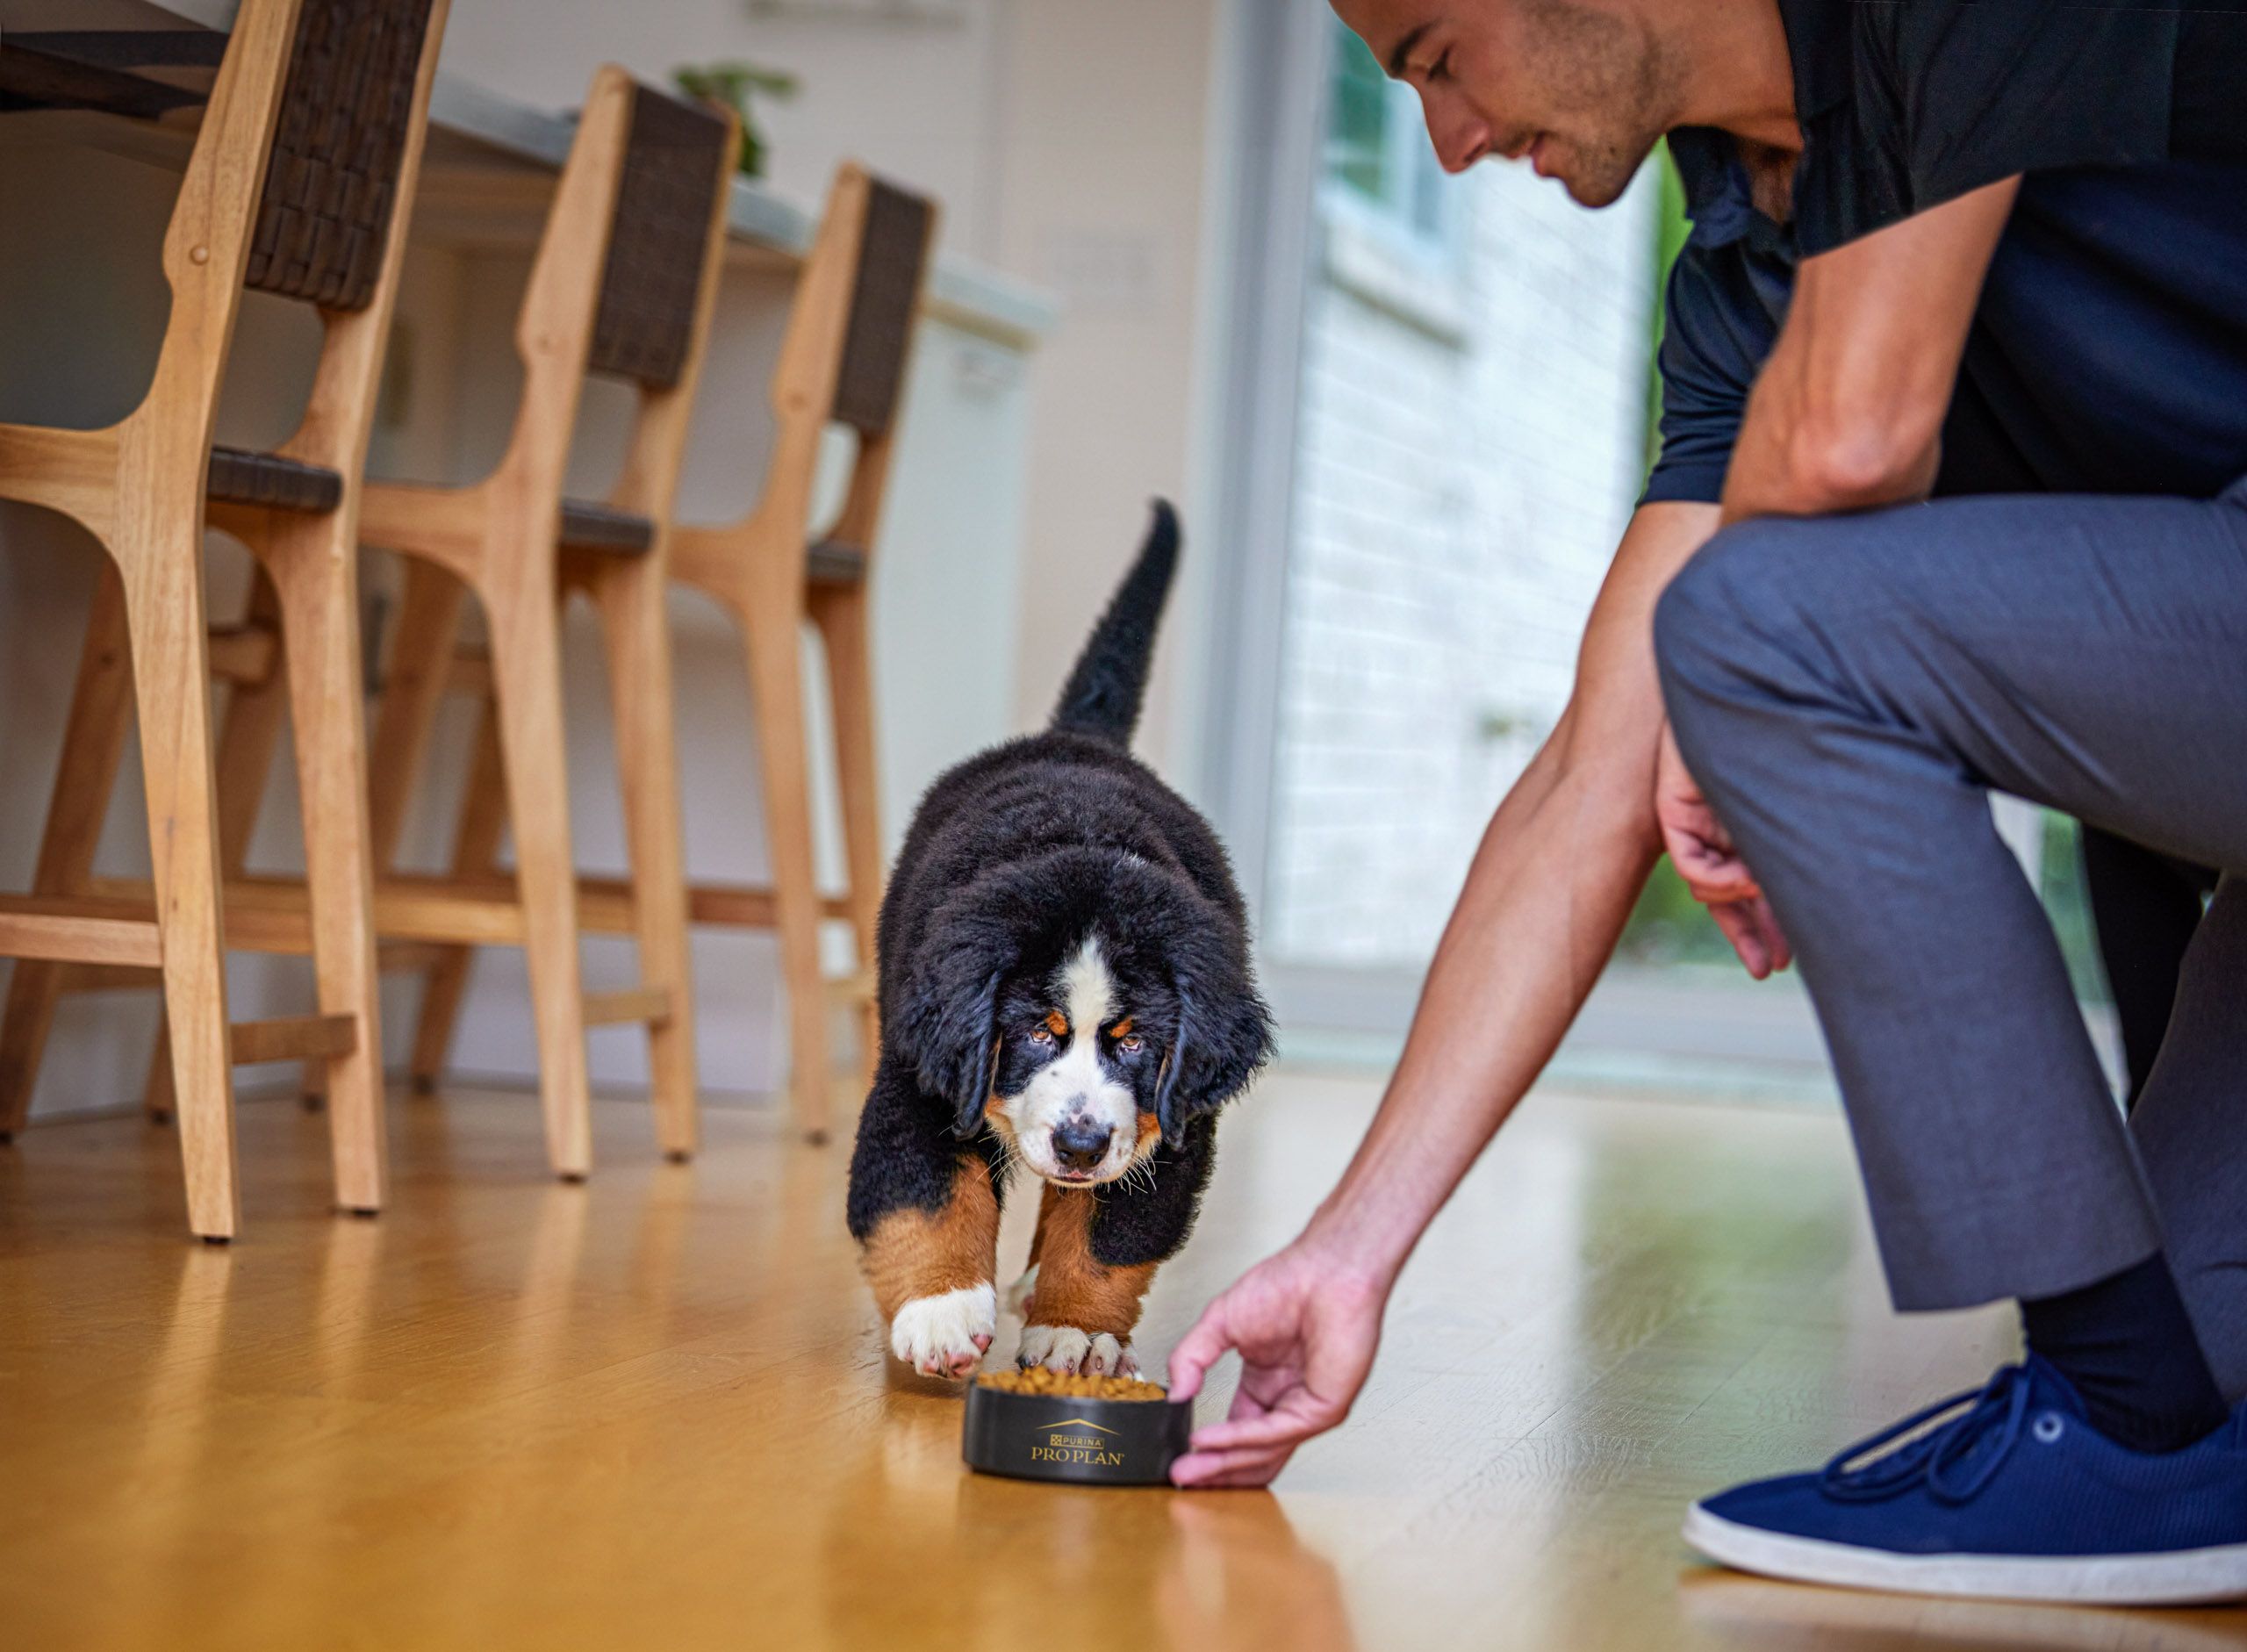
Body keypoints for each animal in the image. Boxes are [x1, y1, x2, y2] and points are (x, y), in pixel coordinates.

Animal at [844, 503, 1276, 1384]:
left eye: (1136, 1041)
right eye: (1035, 1034)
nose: (1079, 1143)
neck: (1082, 841)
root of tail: (1081, 741)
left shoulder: (1171, 1123)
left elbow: (1112, 1237)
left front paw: (1074, 1329)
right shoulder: (923, 1072)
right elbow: (923, 1190)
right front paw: (941, 1312)